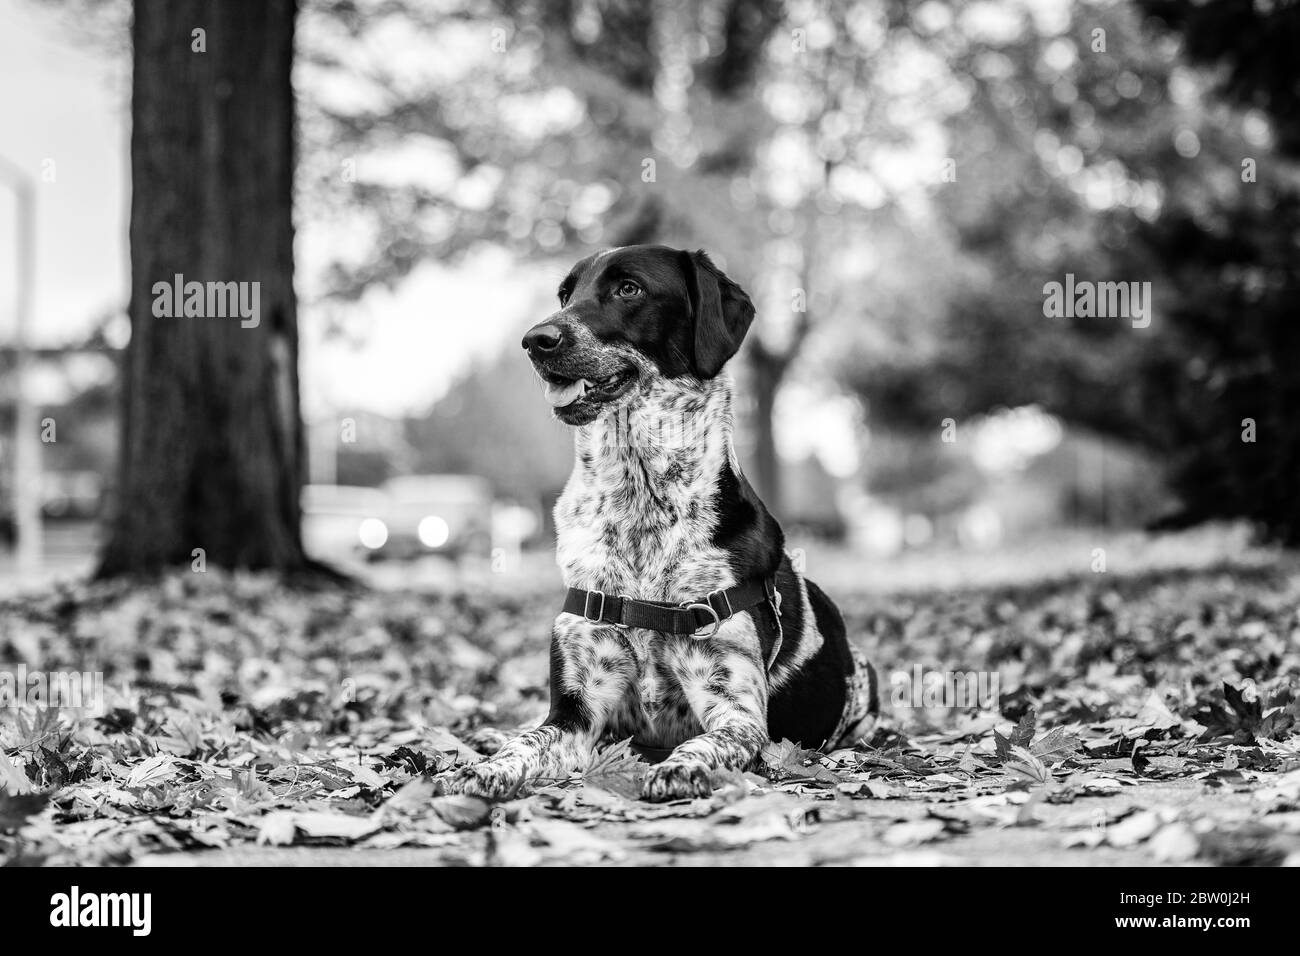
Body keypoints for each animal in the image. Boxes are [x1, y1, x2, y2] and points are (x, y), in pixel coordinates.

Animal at [441, 244, 878, 801]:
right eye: (565, 295)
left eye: (629, 288)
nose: (535, 340)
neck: (640, 503)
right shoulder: (576, 712)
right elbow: (527, 742)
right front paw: (484, 768)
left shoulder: (735, 710)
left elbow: (705, 742)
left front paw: (677, 767)